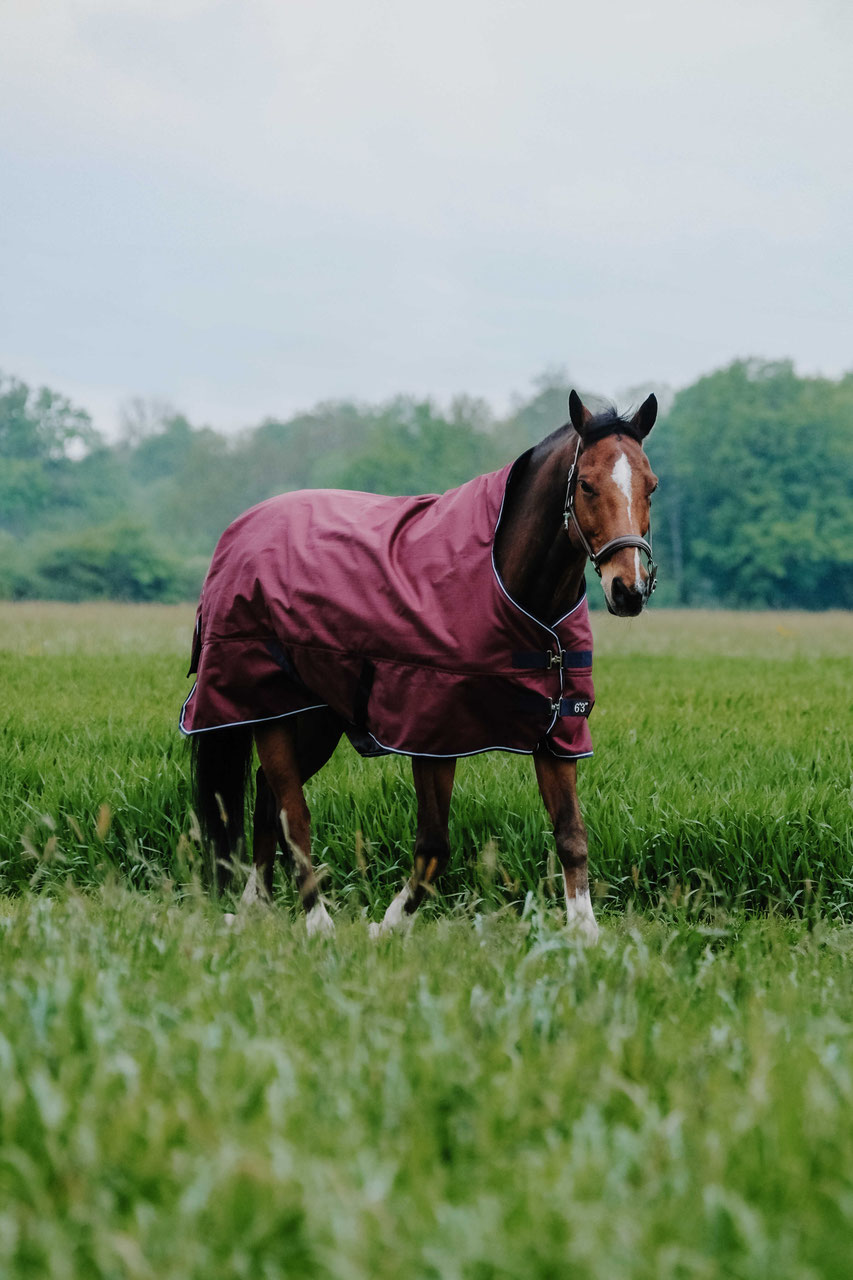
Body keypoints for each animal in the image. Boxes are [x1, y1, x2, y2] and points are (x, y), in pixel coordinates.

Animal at [183, 390, 658, 942]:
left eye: (651, 486)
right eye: (585, 483)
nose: (628, 590)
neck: (512, 591)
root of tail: (239, 530)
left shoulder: (558, 731)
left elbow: (571, 835)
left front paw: (585, 933)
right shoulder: (433, 735)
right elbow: (433, 847)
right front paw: (386, 926)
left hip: (315, 718)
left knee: (265, 797)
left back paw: (252, 908)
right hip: (267, 707)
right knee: (290, 812)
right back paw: (317, 922)